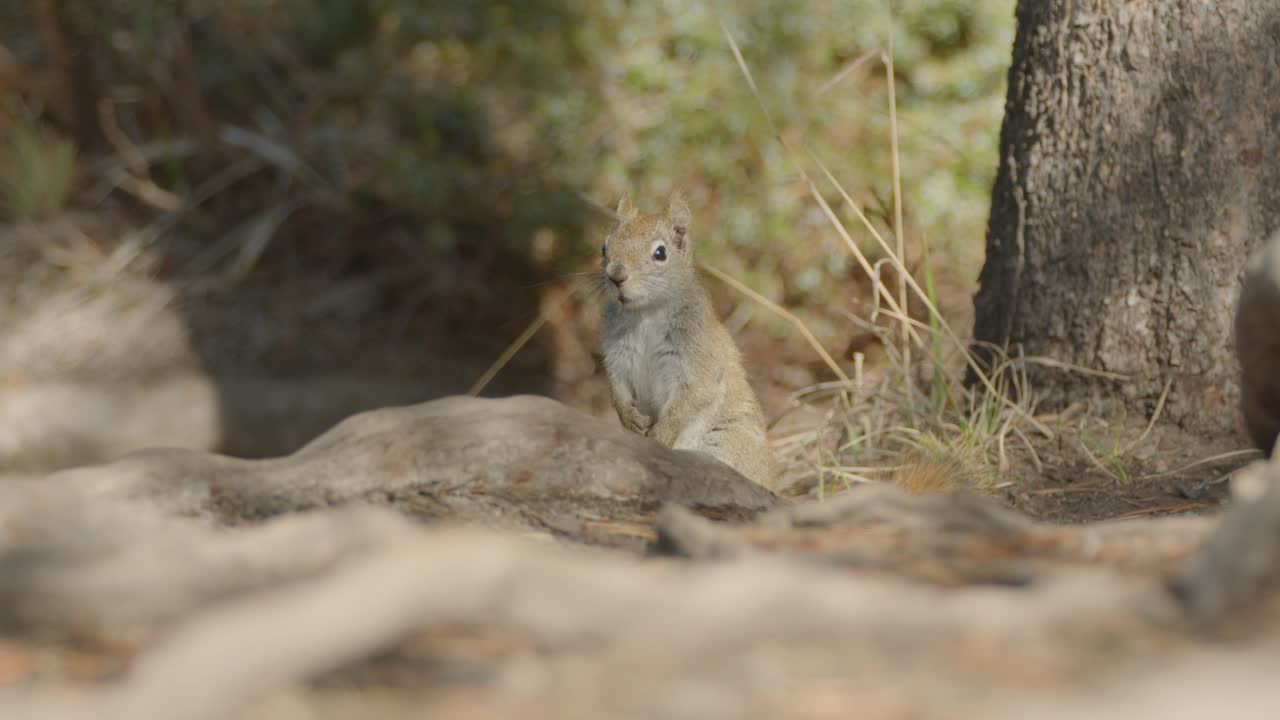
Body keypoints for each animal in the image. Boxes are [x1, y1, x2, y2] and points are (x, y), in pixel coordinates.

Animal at [598, 192, 777, 489]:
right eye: (604, 247)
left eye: (660, 253)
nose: (616, 276)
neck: (646, 313)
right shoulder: (619, 355)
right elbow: (617, 387)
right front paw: (628, 416)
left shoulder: (698, 360)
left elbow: (687, 402)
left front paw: (658, 437)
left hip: (727, 443)